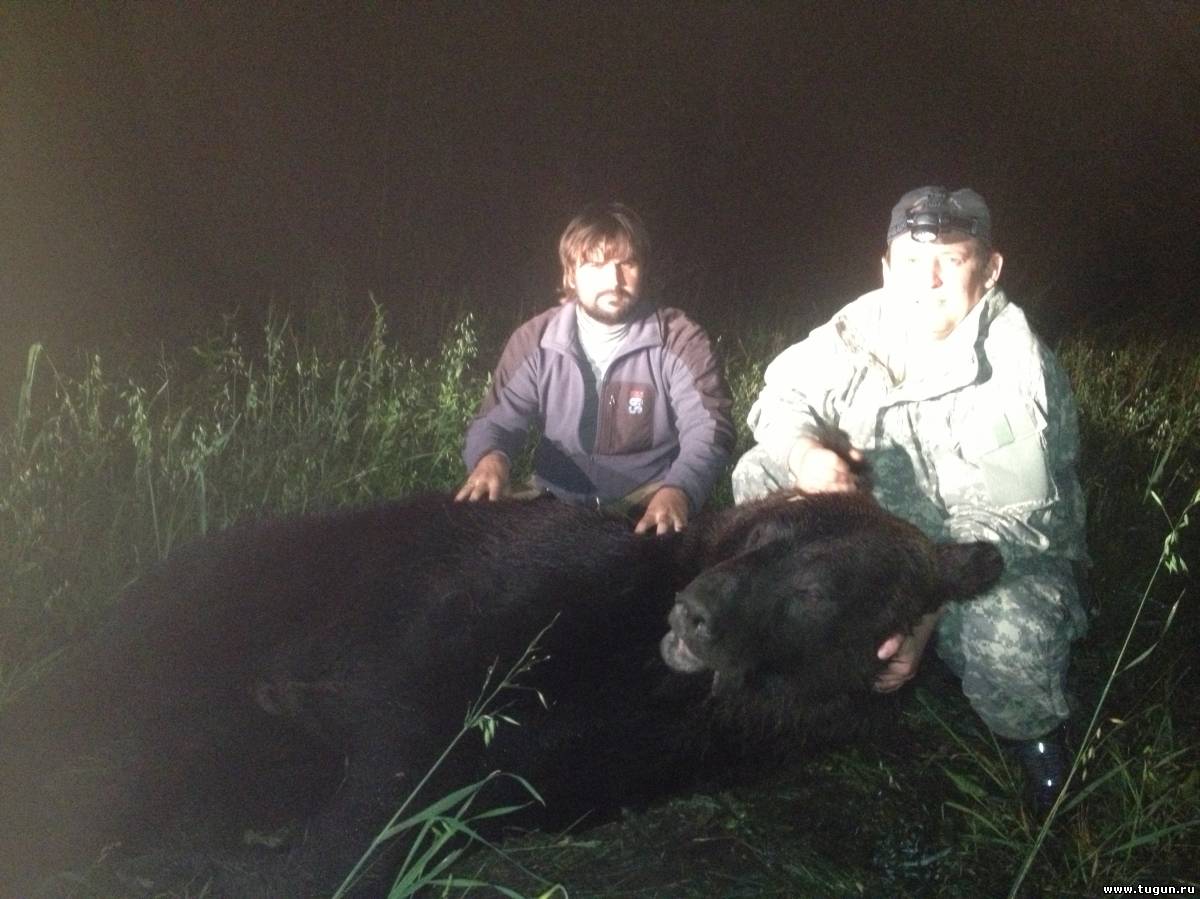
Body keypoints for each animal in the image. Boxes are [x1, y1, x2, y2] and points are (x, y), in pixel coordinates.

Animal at [0, 490, 1002, 897]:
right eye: (759, 534)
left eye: (818, 589)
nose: (696, 609)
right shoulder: (495, 601)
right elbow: (402, 737)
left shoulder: (611, 757)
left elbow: (438, 784)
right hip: (235, 587)